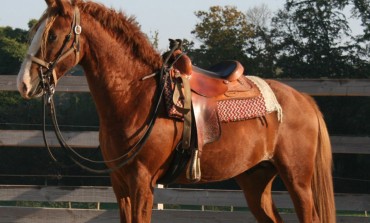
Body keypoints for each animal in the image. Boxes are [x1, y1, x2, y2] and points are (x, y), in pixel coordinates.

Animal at [17, 0, 336, 222]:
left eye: (53, 36)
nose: (24, 83)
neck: (137, 97)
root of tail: (303, 99)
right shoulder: (120, 185)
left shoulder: (142, 182)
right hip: (256, 179)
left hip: (297, 179)